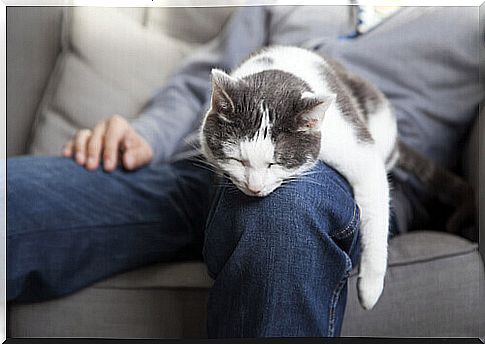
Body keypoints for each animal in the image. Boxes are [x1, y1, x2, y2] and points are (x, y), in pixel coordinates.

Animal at [198, 44, 472, 310]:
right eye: (237, 160)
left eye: (276, 163)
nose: (254, 188)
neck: (277, 75)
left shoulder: (356, 145)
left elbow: (375, 210)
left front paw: (370, 289)